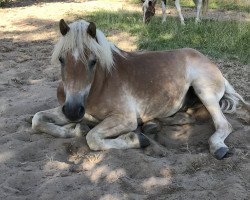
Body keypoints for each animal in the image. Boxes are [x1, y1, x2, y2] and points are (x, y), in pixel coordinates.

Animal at [32, 18, 249, 159]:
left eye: (93, 61)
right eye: (62, 59)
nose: (73, 111)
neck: (99, 85)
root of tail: (209, 62)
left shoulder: (125, 119)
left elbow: (92, 138)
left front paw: (135, 139)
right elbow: (37, 119)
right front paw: (73, 129)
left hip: (204, 90)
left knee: (223, 124)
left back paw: (218, 147)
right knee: (189, 115)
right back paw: (153, 125)